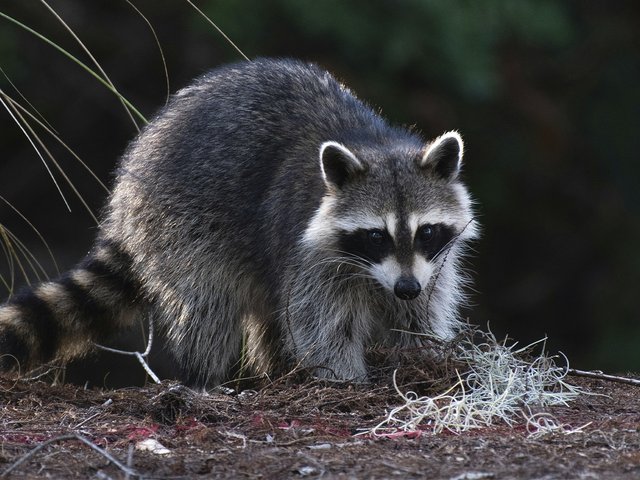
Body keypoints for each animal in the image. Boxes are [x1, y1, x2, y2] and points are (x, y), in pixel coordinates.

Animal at [0, 58, 476, 386]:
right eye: (376, 236)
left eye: (426, 231)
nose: (406, 287)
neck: (377, 145)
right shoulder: (309, 253)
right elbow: (322, 323)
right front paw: (344, 378)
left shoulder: (431, 264)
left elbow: (419, 313)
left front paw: (422, 357)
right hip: (181, 222)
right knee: (209, 304)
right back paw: (203, 379)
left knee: (267, 313)